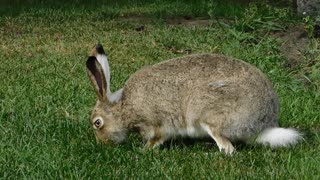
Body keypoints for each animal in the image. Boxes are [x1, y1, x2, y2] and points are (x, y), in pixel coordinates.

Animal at [85, 44, 302, 155]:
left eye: (97, 123)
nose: (102, 144)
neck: (124, 108)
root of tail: (261, 124)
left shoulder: (156, 124)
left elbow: (157, 137)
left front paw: (143, 150)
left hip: (208, 114)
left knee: (227, 147)